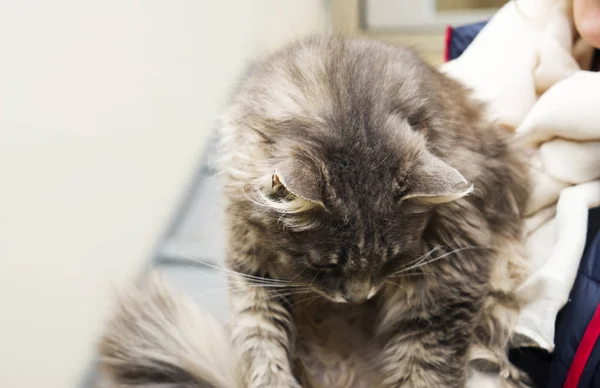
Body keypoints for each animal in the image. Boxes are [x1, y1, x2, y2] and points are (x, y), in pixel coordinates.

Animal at [101, 36, 532, 388]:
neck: (349, 100)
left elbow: (428, 364)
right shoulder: (250, 265)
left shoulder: (450, 269)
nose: (358, 297)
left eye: (391, 260)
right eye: (323, 265)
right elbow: (259, 339)